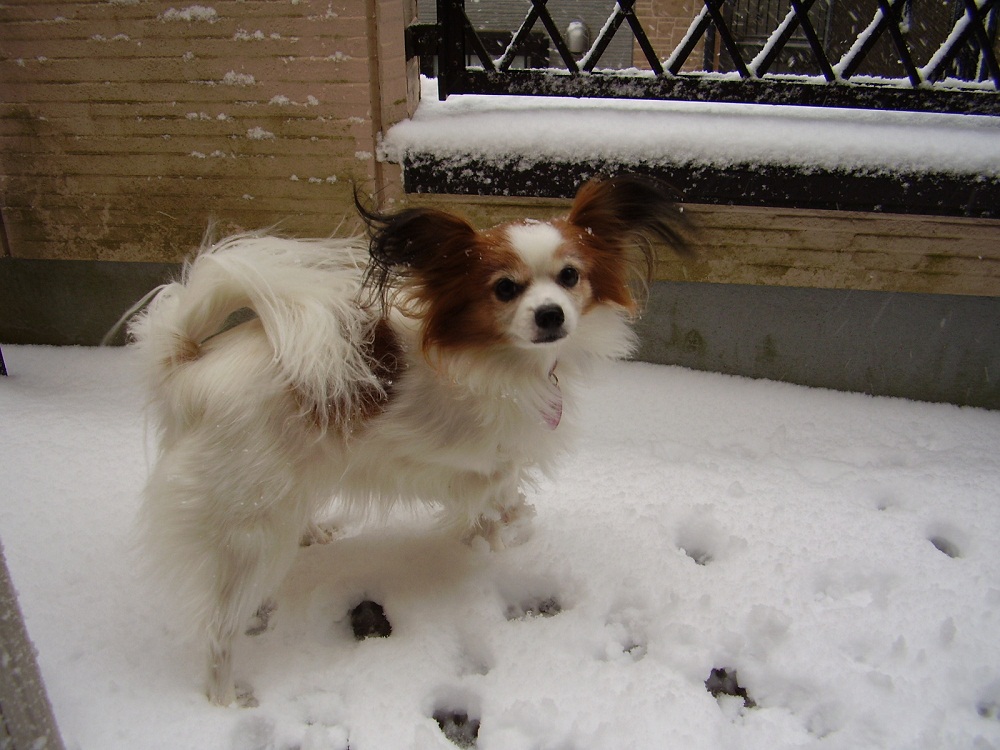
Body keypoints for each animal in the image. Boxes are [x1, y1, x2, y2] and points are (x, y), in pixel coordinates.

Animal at [127, 175, 689, 705]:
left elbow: (498, 494)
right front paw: (502, 537)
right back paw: (224, 702)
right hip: (249, 531)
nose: (551, 314)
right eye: (505, 288)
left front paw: (495, 531)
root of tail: (188, 365)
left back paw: (314, 533)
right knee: (217, 631)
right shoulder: (458, 455)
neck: (498, 356)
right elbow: (496, 491)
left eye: (571, 276)